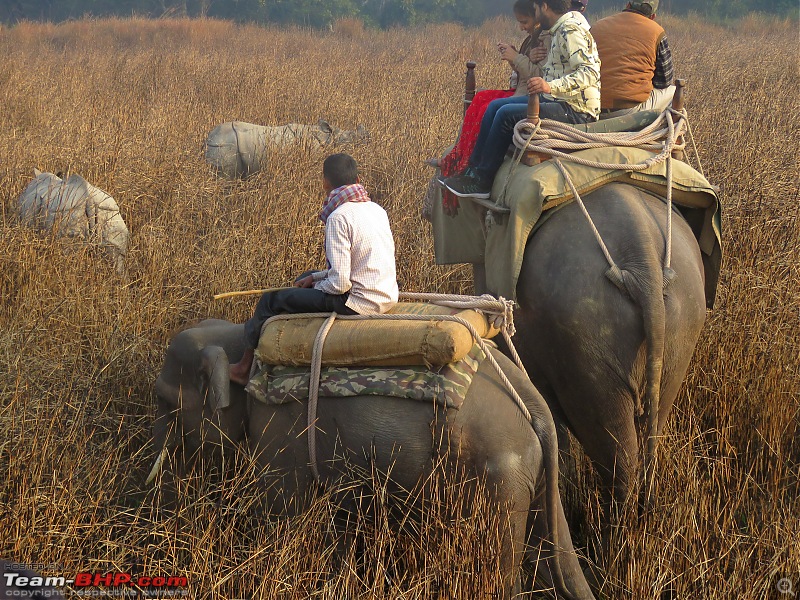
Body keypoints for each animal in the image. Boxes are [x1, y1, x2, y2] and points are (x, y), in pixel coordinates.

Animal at [153, 318, 596, 596]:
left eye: (165, 402)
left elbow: (284, 520)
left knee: (496, 572)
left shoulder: (281, 431)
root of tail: (533, 404)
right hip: (527, 475)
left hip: (496, 474)